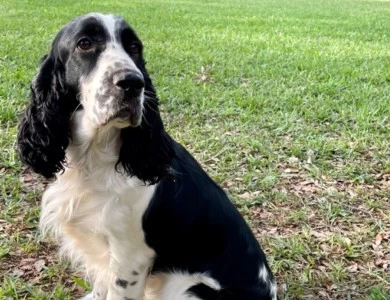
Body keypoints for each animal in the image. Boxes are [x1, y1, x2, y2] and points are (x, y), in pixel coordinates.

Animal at [16, 12, 276, 298]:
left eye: (134, 47)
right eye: (85, 43)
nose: (132, 82)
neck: (94, 156)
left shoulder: (130, 257)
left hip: (188, 287)